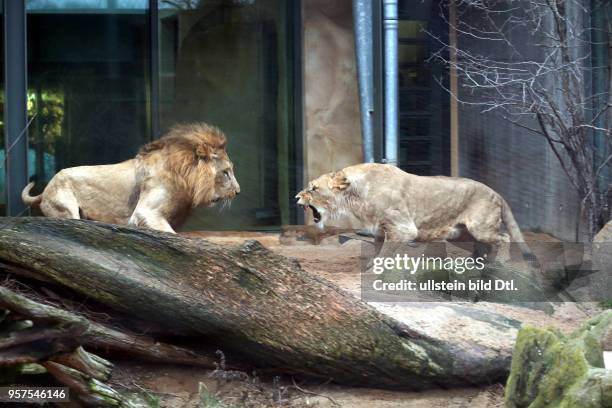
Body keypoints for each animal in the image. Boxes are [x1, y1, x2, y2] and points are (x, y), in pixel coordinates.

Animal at [19, 122, 239, 233]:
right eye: (226, 172)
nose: (238, 192)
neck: (185, 177)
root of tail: (46, 188)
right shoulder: (145, 212)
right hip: (65, 208)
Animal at [296, 163, 536, 262]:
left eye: (313, 188)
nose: (296, 197)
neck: (355, 196)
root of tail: (495, 192)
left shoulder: (403, 229)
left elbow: (384, 254)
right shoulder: (380, 231)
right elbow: (377, 251)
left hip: (481, 227)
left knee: (503, 238)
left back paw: (499, 262)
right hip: (462, 233)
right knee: (485, 245)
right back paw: (479, 263)